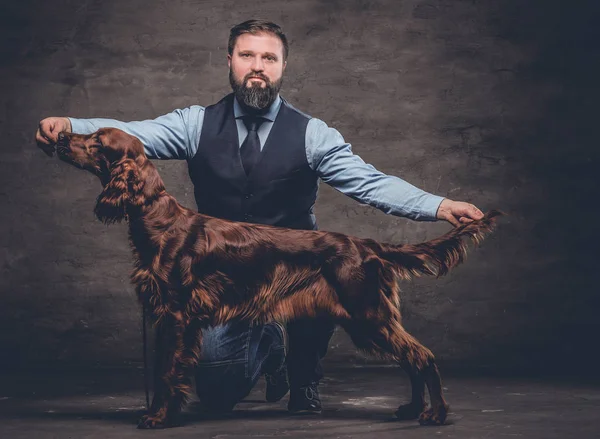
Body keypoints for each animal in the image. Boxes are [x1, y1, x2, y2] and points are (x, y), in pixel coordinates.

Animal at [47, 127, 500, 430]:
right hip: (366, 319)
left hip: (367, 313)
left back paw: (434, 413)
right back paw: (412, 409)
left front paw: (157, 417)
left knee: (422, 356)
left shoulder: (175, 313)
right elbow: (171, 368)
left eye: (97, 141)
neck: (156, 218)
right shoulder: (168, 313)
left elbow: (165, 370)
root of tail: (367, 245)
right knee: (410, 358)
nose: (60, 137)